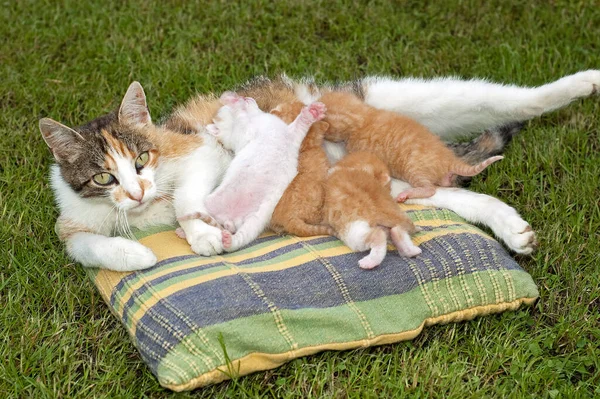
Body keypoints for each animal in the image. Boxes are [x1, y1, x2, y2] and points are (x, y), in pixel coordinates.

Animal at [203, 92, 326, 252]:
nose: (246, 97)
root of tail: (230, 217)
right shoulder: (246, 132)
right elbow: (240, 114)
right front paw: (232, 99)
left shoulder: (292, 134)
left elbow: (301, 122)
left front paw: (313, 112)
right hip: (208, 203)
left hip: (253, 219)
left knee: (235, 236)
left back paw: (228, 237)